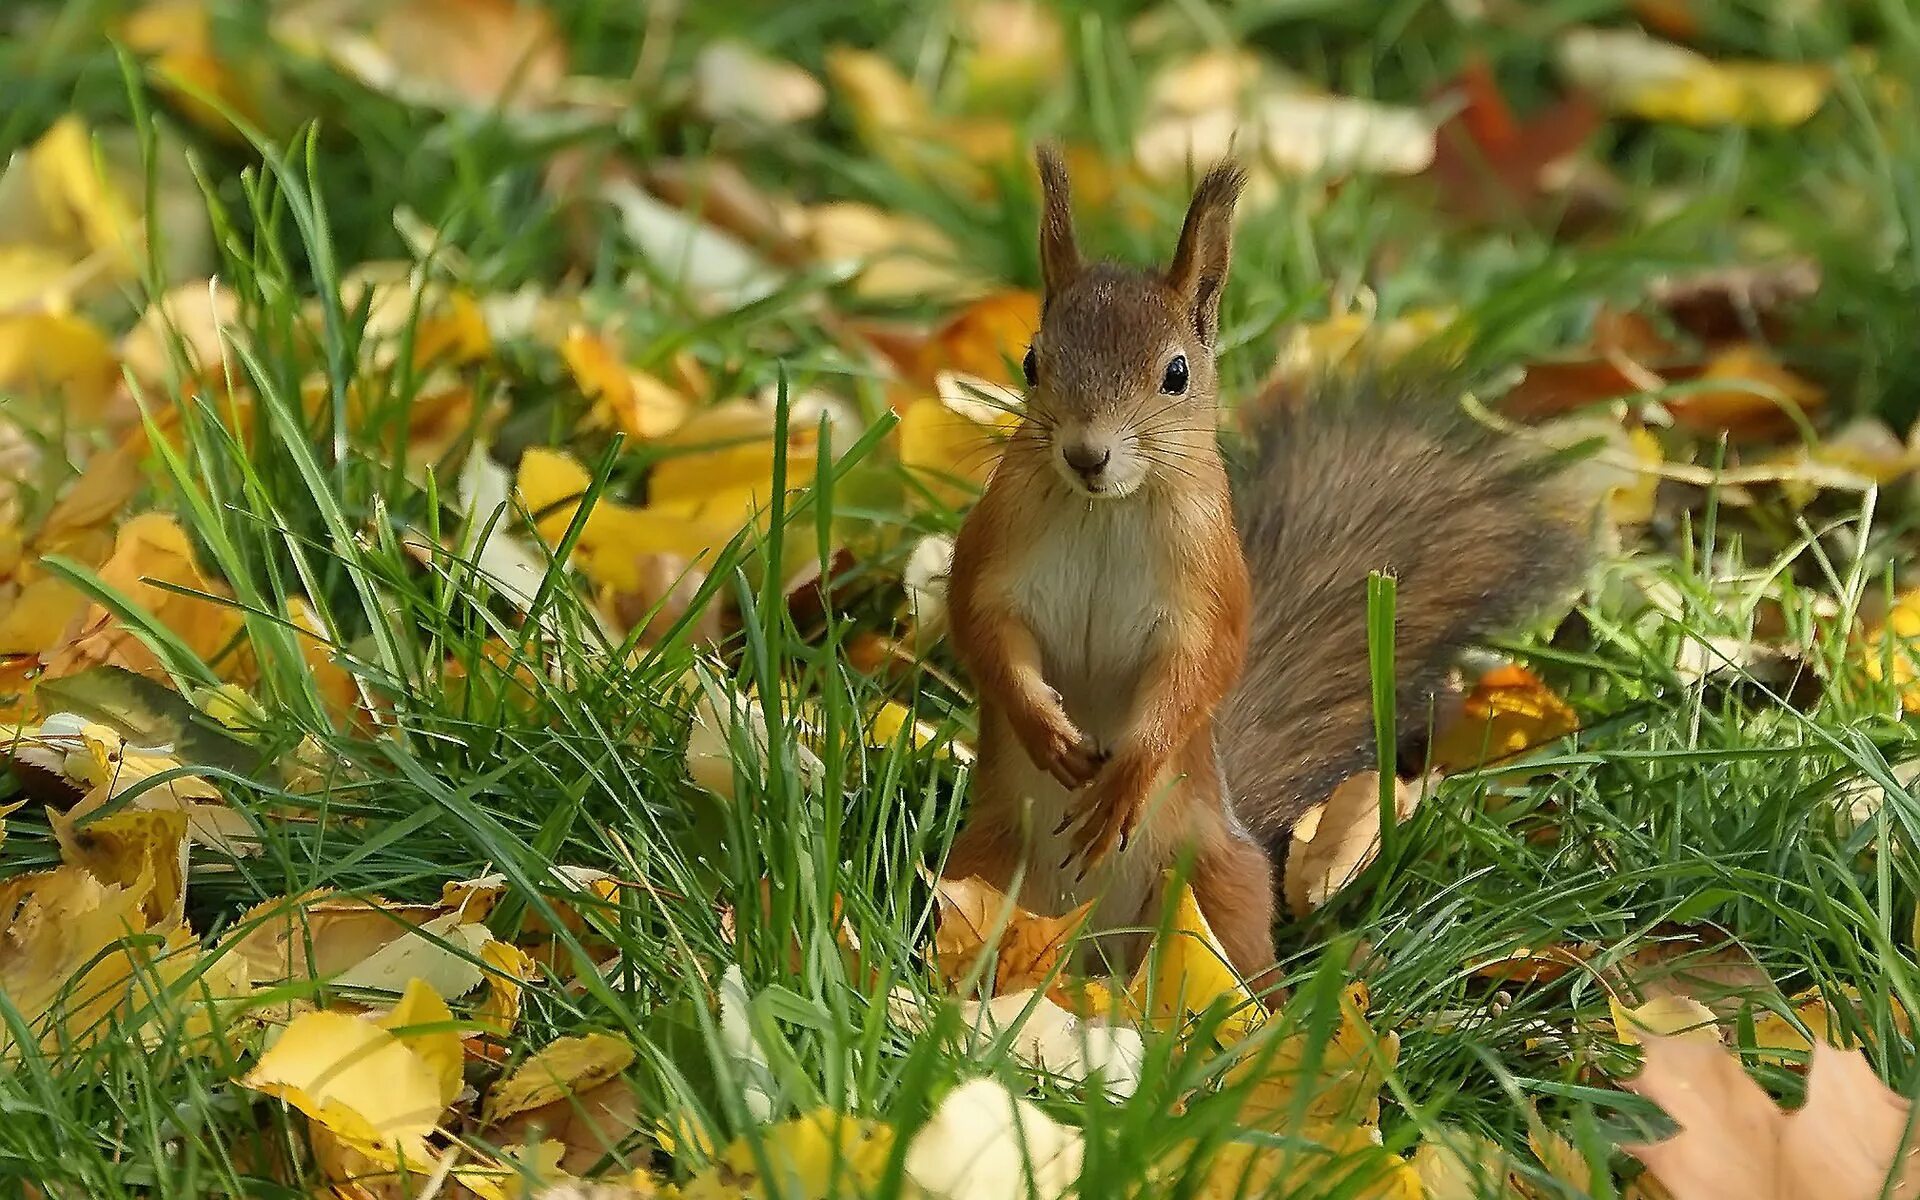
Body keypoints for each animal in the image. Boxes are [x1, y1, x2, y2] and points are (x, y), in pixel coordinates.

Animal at [944, 144, 1589, 983]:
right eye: (1031, 362)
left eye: (1176, 374)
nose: (1086, 455)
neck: (1105, 510)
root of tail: (1093, 956)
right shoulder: (996, 550)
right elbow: (985, 631)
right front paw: (1043, 726)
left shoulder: (1211, 581)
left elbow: (1200, 670)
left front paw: (1128, 776)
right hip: (981, 869)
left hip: (1218, 888)